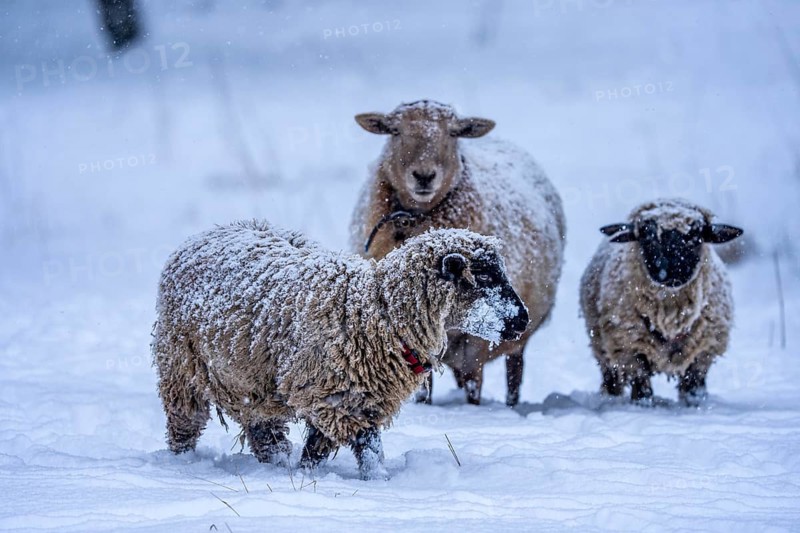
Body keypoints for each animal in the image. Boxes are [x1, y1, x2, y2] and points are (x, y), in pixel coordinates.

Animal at [152, 220, 528, 479]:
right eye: (483, 277)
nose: (523, 320)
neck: (376, 312)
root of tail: (205, 235)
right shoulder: (338, 399)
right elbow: (370, 450)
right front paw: (379, 483)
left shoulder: (348, 399)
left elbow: (316, 451)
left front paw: (305, 475)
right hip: (181, 368)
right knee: (185, 425)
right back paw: (181, 463)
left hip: (254, 383)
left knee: (263, 431)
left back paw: (275, 463)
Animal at [350, 100, 565, 406]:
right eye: (395, 131)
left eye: (453, 133)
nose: (424, 176)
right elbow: (424, 386)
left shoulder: (476, 338)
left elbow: (475, 383)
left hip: (514, 336)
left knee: (512, 372)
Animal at [579, 198, 743, 404]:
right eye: (647, 236)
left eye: (695, 237)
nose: (670, 272)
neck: (671, 314)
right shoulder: (630, 350)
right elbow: (642, 390)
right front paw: (642, 406)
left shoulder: (703, 354)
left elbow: (693, 389)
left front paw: (694, 405)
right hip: (602, 347)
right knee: (611, 378)